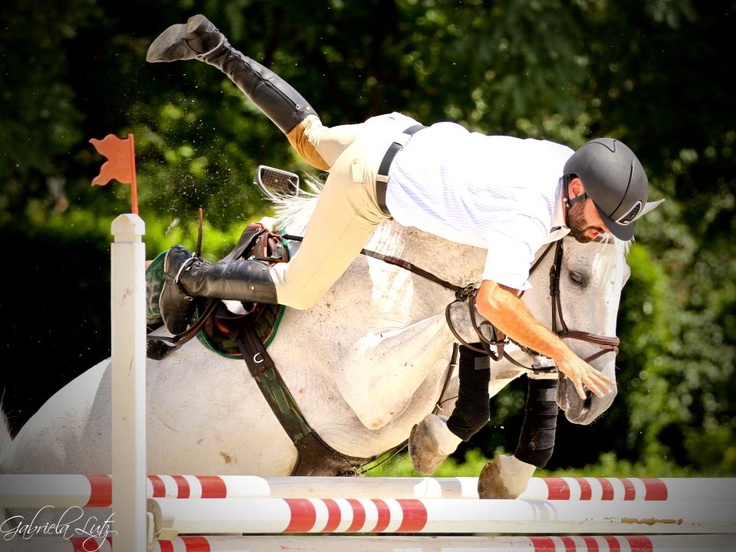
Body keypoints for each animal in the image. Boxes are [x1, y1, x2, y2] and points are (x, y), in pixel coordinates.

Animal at [0, 178, 630, 500]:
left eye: (623, 280)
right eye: (577, 276)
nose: (595, 402)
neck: (415, 269)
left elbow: (491, 360)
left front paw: (500, 469)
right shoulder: (365, 383)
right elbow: (466, 322)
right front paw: (438, 444)